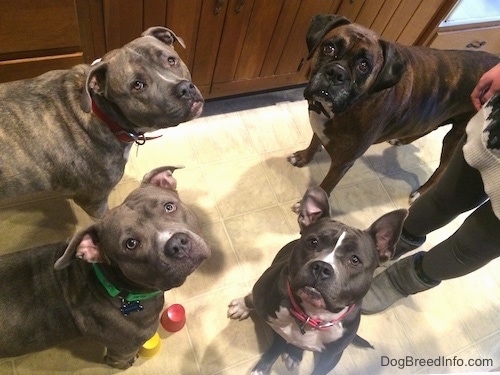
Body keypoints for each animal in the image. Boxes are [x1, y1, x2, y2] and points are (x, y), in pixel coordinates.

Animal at [0, 167, 210, 370]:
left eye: (169, 206)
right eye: (131, 244)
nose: (177, 244)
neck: (118, 289)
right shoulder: (121, 351)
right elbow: (121, 361)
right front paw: (130, 363)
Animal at [229, 188, 408, 375]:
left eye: (355, 260)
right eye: (313, 242)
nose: (322, 267)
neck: (310, 316)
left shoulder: (332, 357)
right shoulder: (262, 294)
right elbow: (252, 300)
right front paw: (241, 305)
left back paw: (294, 353)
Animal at [290, 14, 500, 204]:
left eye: (363, 66)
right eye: (329, 48)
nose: (336, 73)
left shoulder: (342, 163)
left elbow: (326, 185)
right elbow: (314, 142)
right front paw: (303, 158)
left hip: (457, 138)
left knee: (441, 170)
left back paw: (420, 192)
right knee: (427, 128)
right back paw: (402, 140)